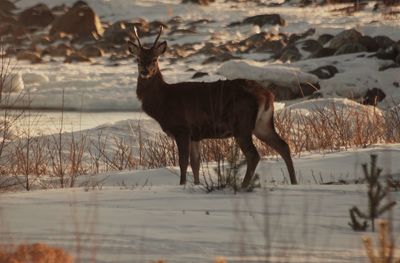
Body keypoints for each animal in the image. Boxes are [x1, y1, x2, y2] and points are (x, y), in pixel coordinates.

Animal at [128, 26, 296, 190]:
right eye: (138, 59)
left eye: (154, 59)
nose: (144, 71)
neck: (163, 102)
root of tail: (267, 95)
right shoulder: (195, 134)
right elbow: (195, 163)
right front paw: (197, 185)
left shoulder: (182, 128)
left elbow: (183, 162)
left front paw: (182, 185)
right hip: (262, 124)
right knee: (283, 146)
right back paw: (294, 182)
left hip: (241, 123)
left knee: (254, 155)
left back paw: (243, 186)